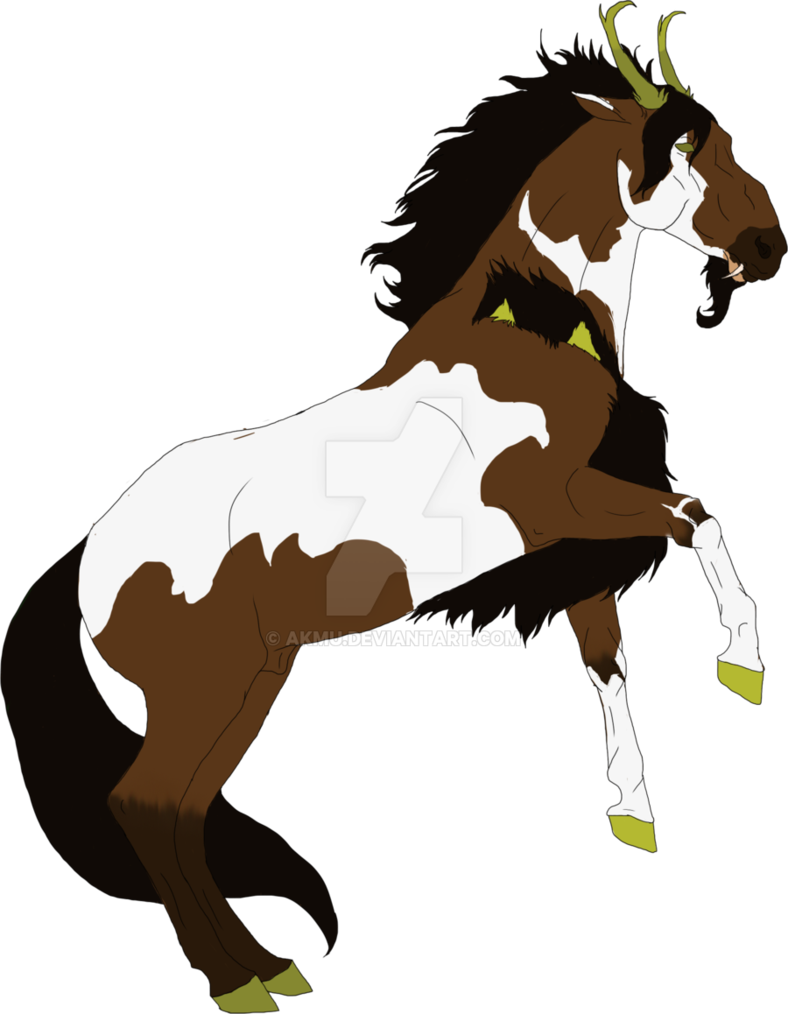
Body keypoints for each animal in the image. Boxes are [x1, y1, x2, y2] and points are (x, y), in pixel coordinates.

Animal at [3, 5, 783, 1010]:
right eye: (696, 150)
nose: (769, 249)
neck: (528, 336)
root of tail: (92, 555)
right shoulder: (559, 505)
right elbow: (695, 513)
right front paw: (743, 662)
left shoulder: (567, 542)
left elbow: (605, 651)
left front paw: (634, 810)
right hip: (205, 691)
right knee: (145, 804)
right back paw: (240, 980)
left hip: (252, 683)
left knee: (179, 810)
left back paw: (269, 970)